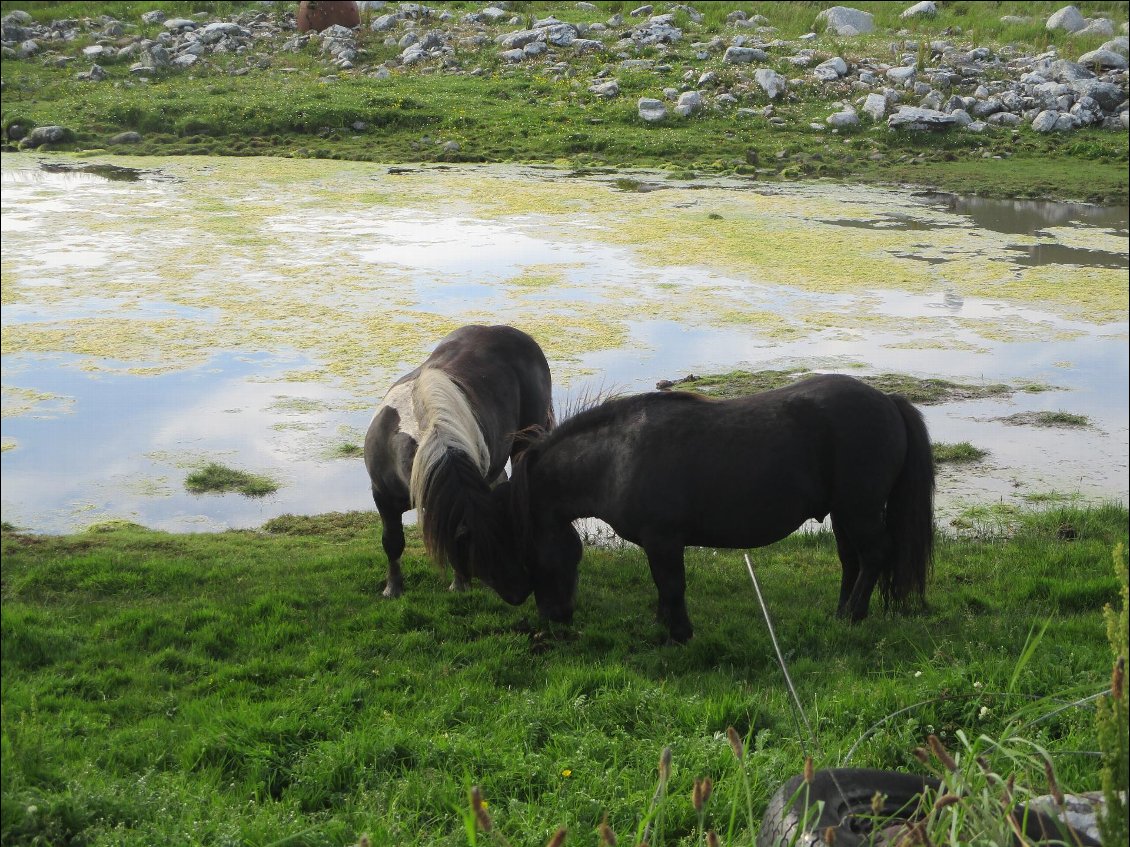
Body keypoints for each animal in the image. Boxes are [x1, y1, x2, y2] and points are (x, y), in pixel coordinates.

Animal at [363, 325, 553, 605]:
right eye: (484, 551)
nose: (523, 590)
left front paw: (459, 584)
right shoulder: (382, 496)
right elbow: (392, 541)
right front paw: (393, 588)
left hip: (527, 437)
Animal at [494, 372, 935, 641]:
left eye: (531, 556)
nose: (554, 618)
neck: (616, 457)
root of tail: (888, 400)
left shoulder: (664, 541)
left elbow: (672, 585)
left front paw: (679, 634)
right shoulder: (659, 545)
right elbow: (663, 588)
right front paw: (664, 625)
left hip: (859, 511)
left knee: (875, 554)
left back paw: (853, 614)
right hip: (845, 514)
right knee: (852, 561)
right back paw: (842, 613)